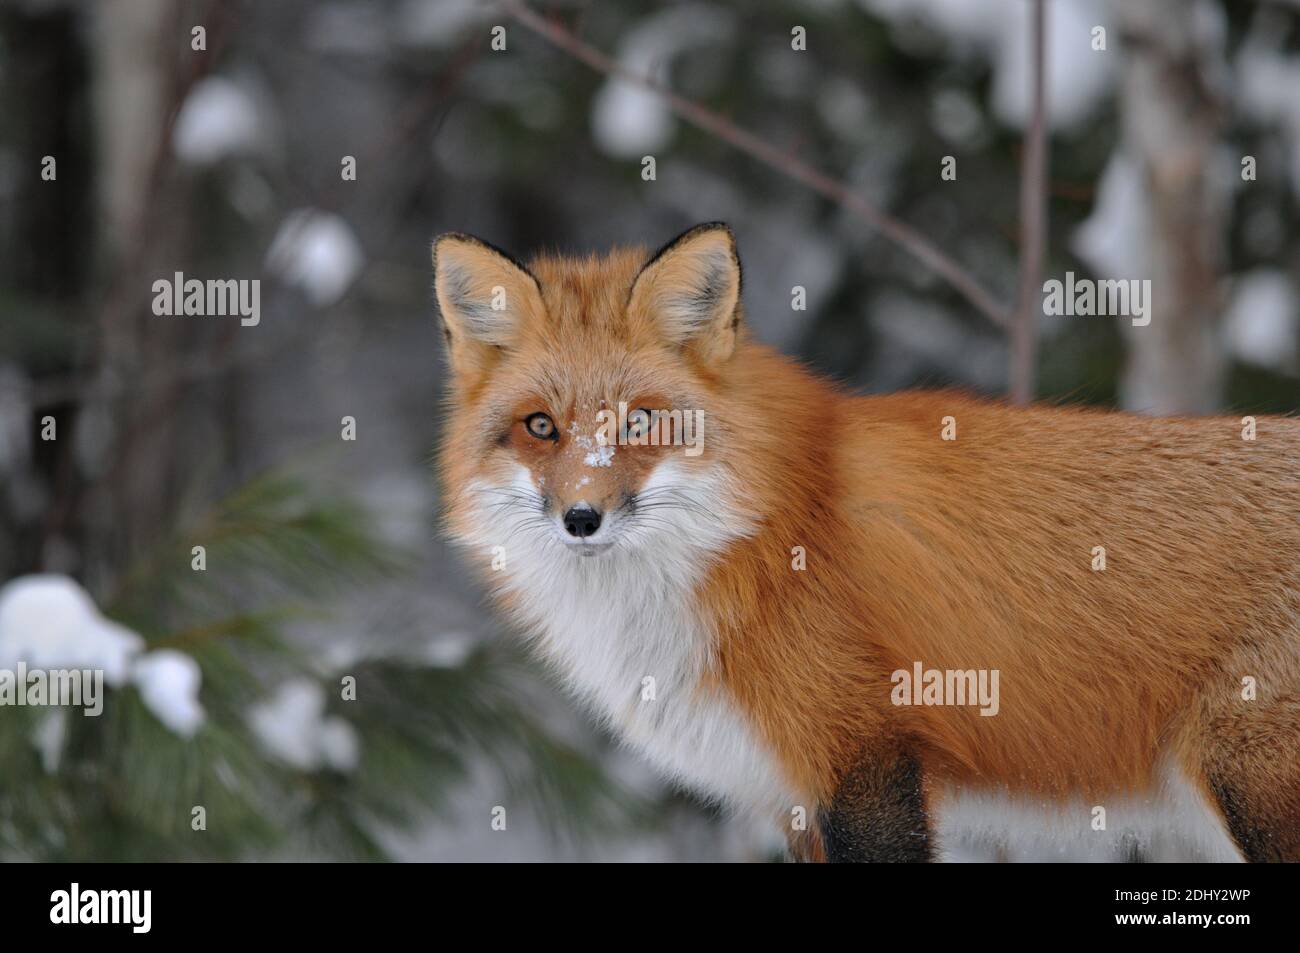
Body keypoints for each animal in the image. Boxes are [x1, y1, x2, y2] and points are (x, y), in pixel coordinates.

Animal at [434, 223, 1300, 863]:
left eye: (642, 421)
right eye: (541, 426)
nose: (582, 517)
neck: (759, 536)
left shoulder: (865, 759)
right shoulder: (791, 797)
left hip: (1251, 786)